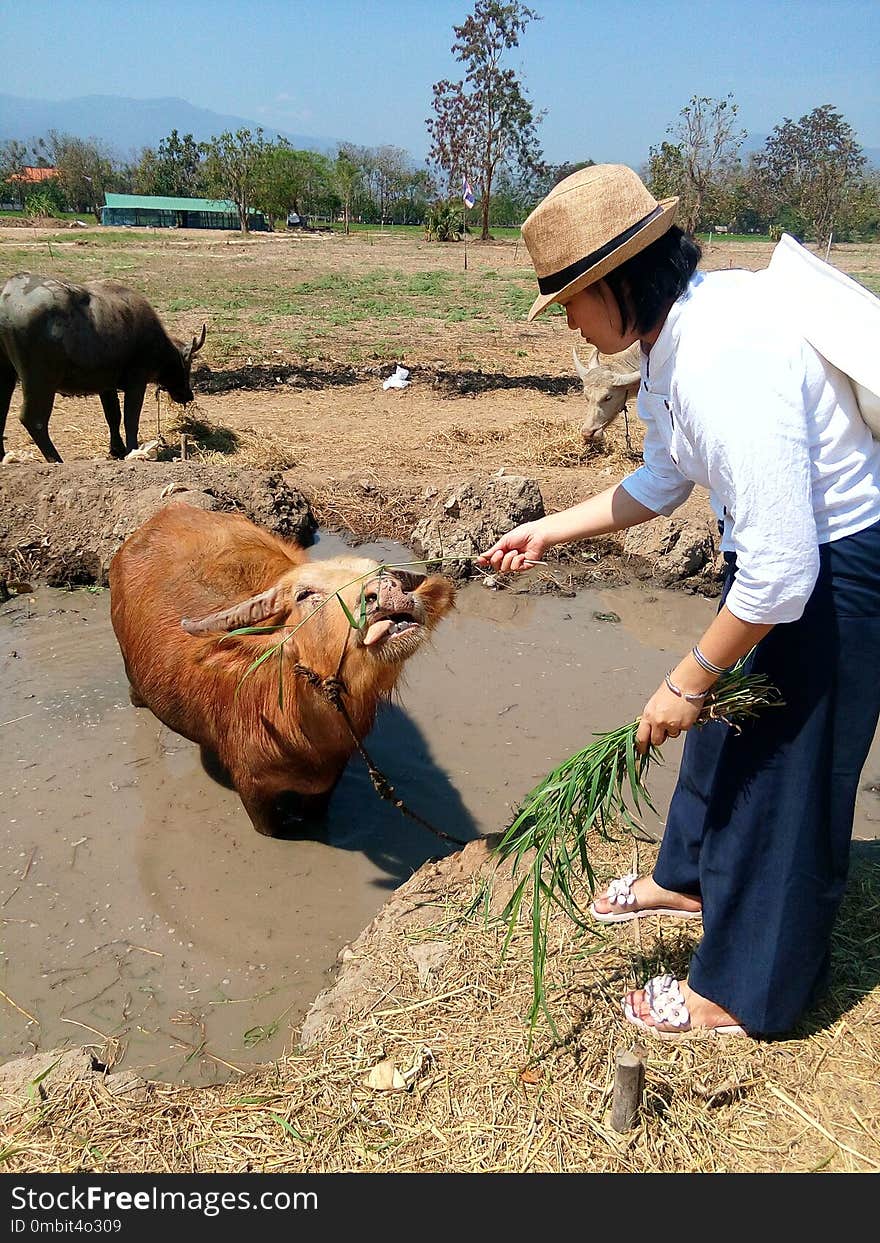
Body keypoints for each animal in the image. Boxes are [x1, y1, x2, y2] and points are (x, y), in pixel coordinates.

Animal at [0, 274, 207, 464]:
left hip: (7, 375)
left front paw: (117, 449)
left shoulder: (106, 386)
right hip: (40, 381)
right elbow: (131, 419)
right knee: (34, 420)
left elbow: (113, 416)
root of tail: (7, 299)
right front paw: (132, 450)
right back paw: (55, 459)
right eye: (187, 365)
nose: (188, 395)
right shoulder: (136, 383)